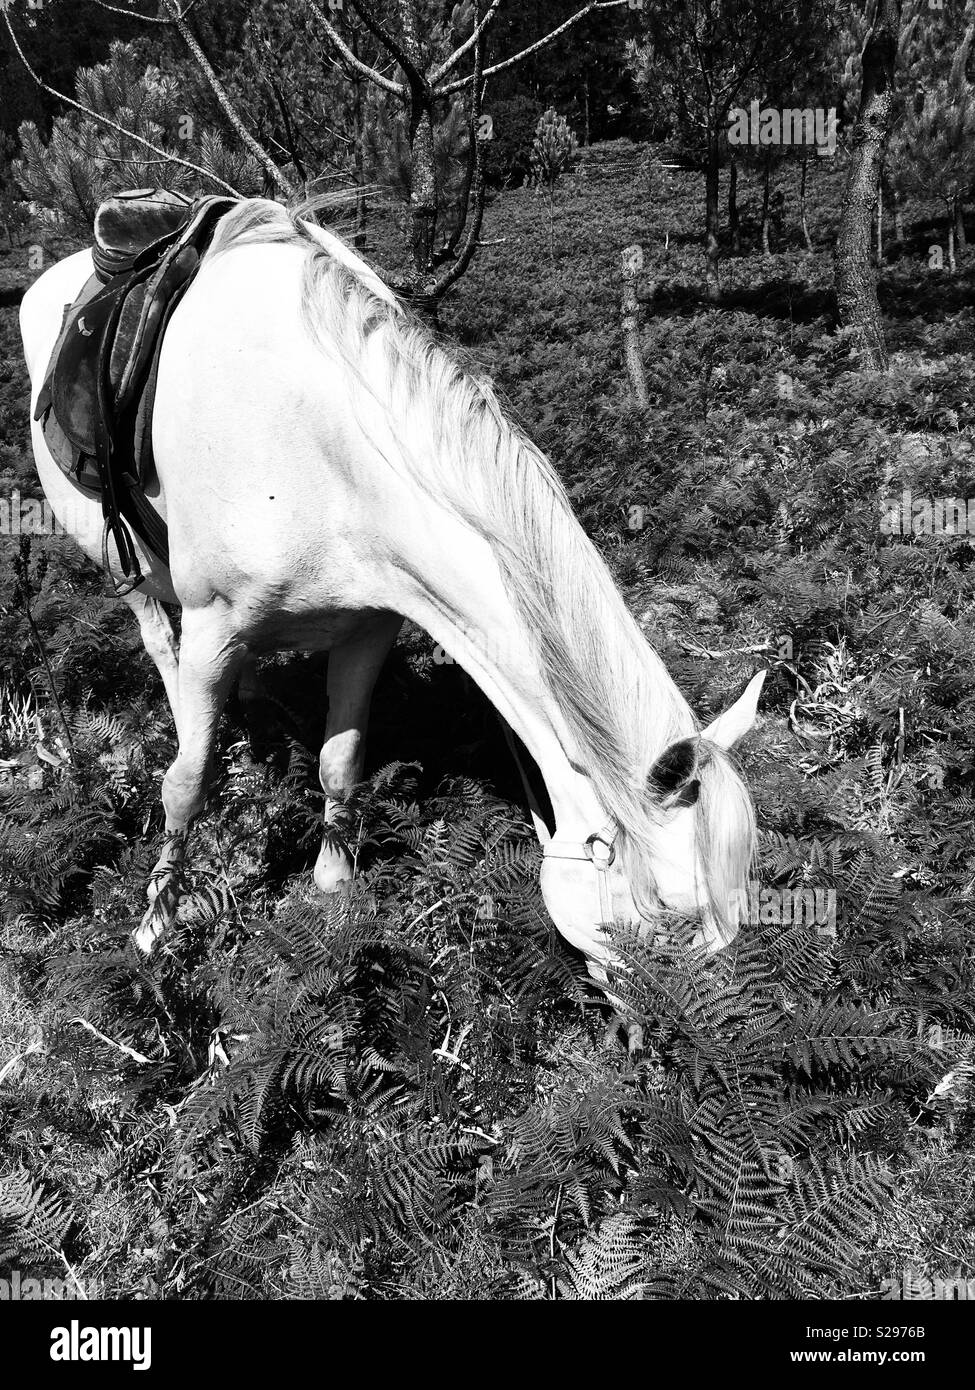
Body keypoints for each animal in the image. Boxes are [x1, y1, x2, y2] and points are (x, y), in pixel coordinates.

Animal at [19, 196, 764, 982]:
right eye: (668, 925)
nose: (670, 1018)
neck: (322, 452)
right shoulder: (214, 624)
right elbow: (185, 782)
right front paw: (155, 925)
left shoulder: (367, 626)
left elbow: (340, 764)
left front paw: (334, 891)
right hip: (120, 565)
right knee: (161, 645)